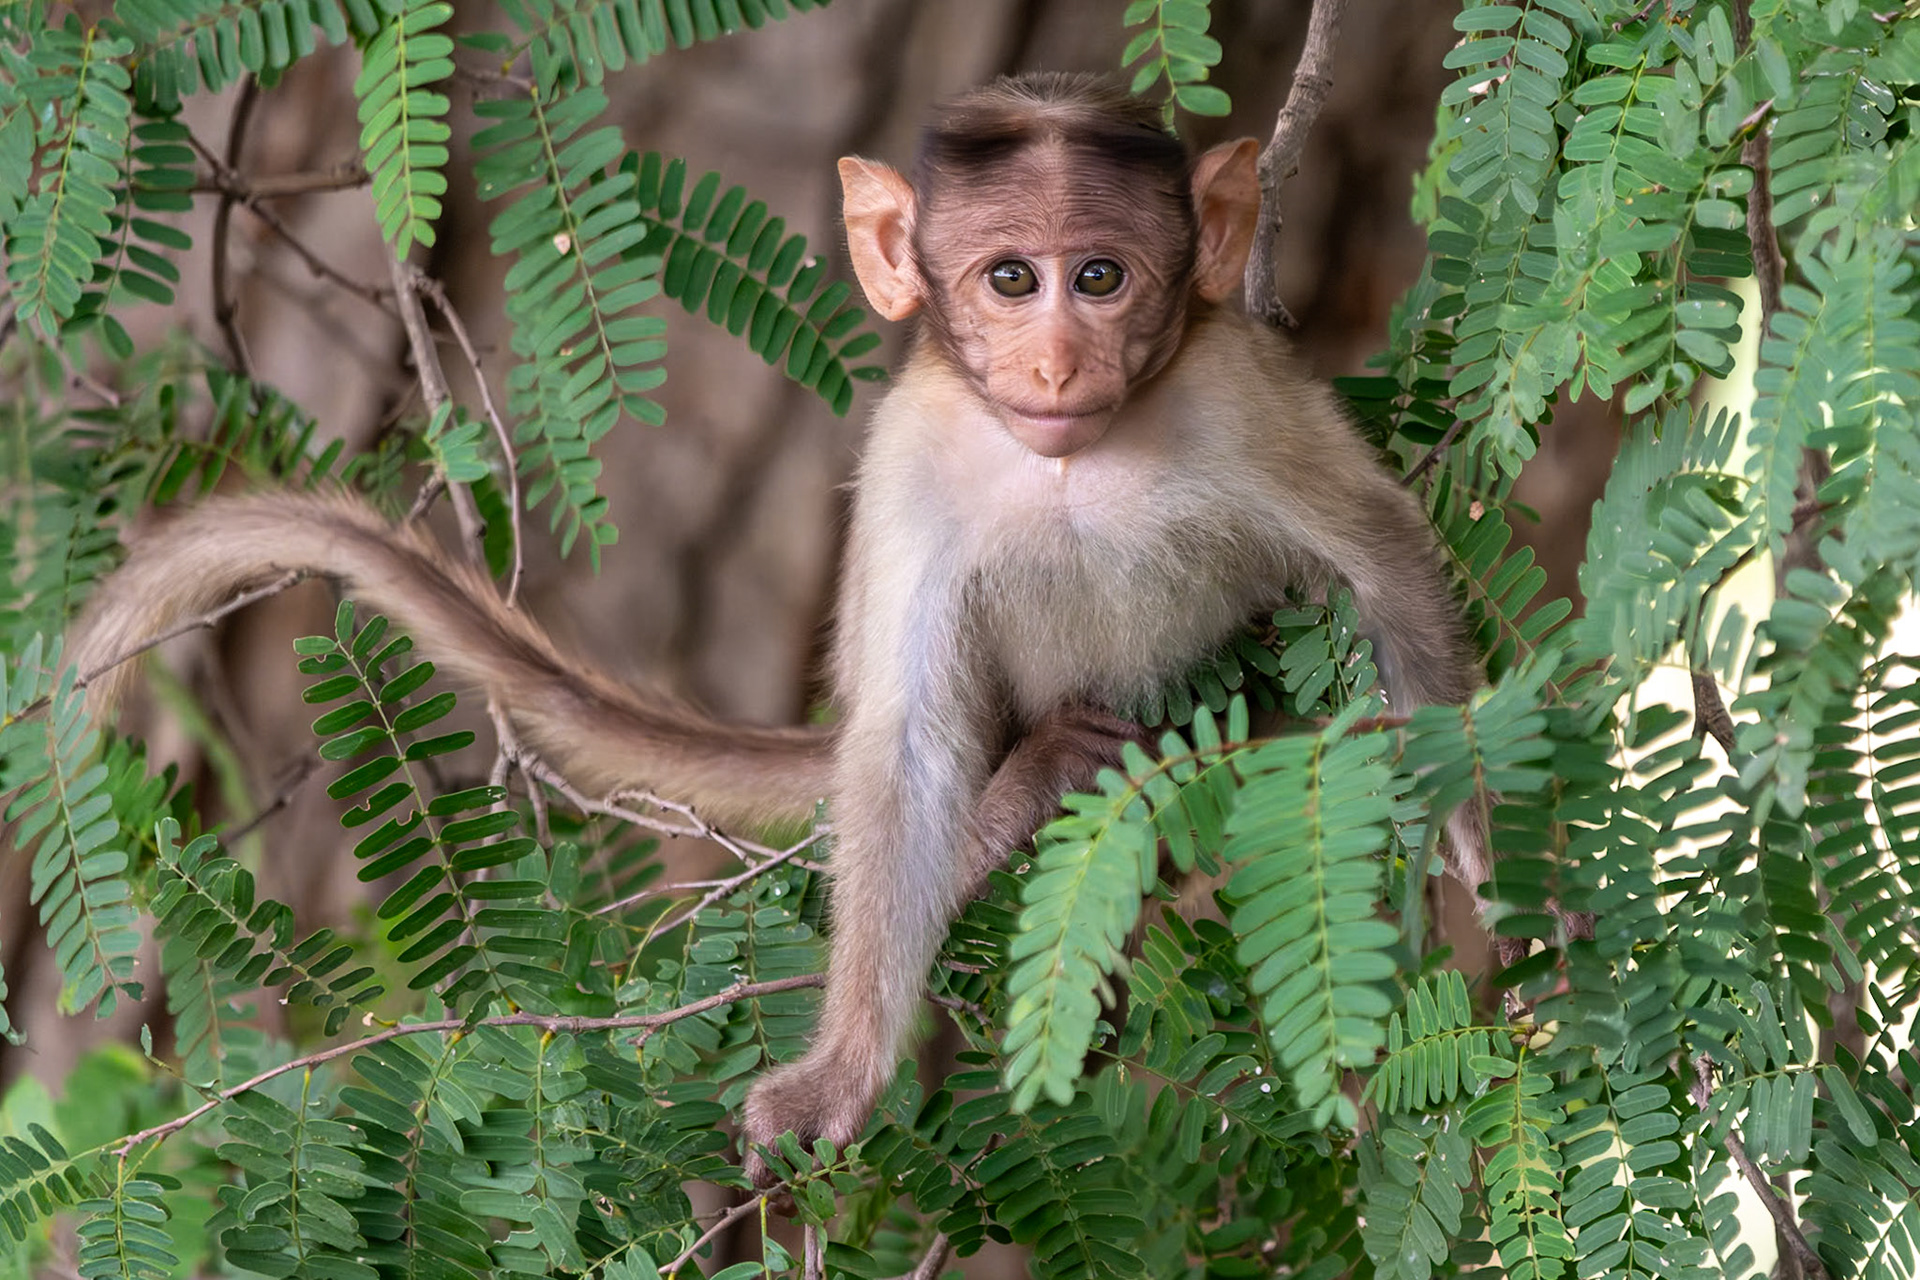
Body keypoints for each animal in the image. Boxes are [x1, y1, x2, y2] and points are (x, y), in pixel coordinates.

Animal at [63, 73, 1502, 1193]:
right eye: (1011, 279)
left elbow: (1383, 557)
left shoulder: (1232, 393)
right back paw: (1015, 802)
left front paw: (1477, 870)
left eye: (1101, 277)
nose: (1054, 362)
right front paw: (843, 1072)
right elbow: (907, 743)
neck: (1066, 460)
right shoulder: (916, 452)